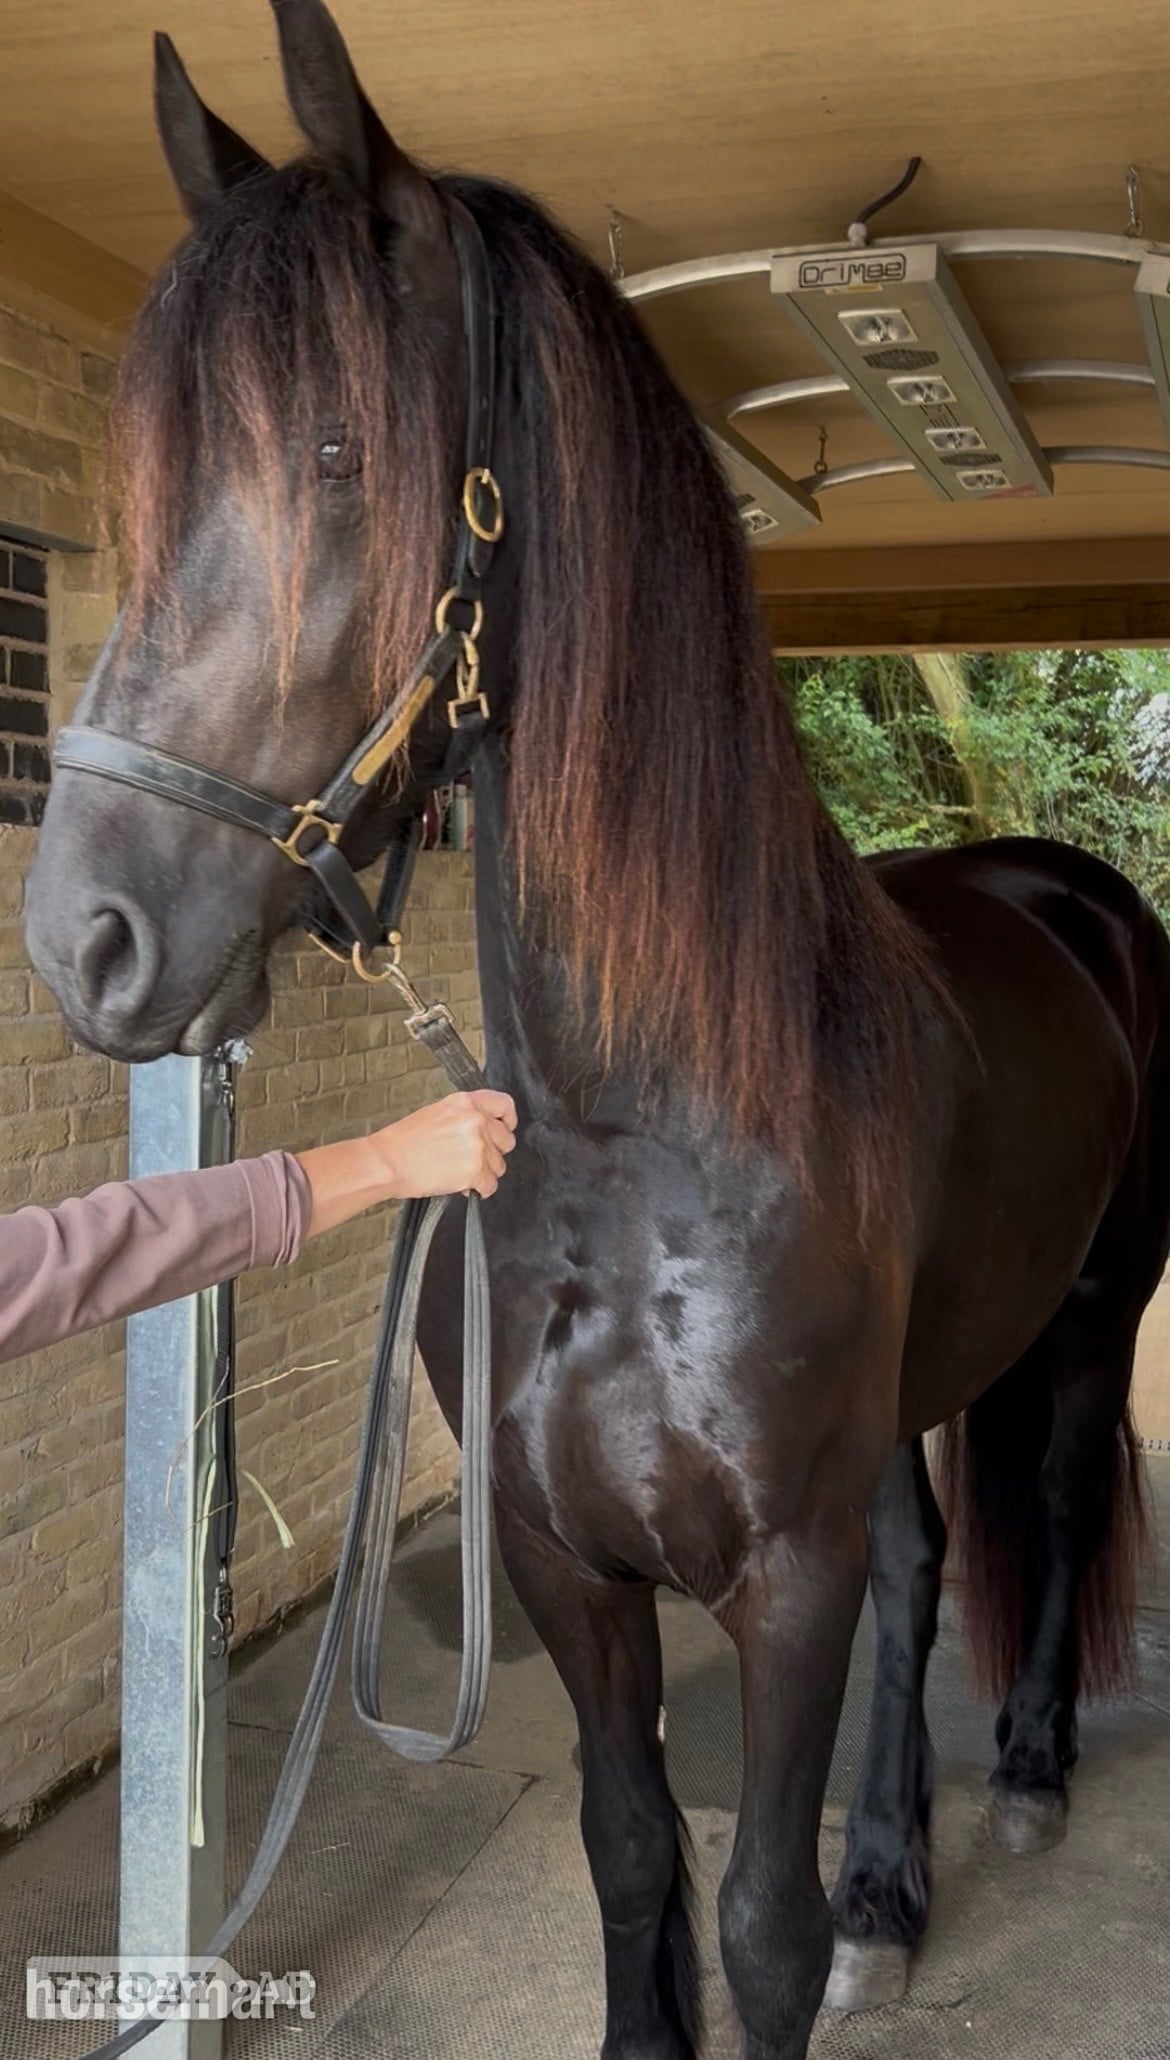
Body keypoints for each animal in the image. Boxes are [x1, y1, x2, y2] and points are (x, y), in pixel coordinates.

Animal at [25, 5, 1170, 2055]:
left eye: (339, 450)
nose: (90, 936)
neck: (634, 1144)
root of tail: (1066, 888)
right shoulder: (563, 1568)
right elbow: (632, 1860)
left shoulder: (779, 1578)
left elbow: (757, 1921)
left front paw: (828, 1912)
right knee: (925, 1566)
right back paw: (897, 1882)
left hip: (1095, 1309)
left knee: (1043, 1497)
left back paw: (1028, 1776)